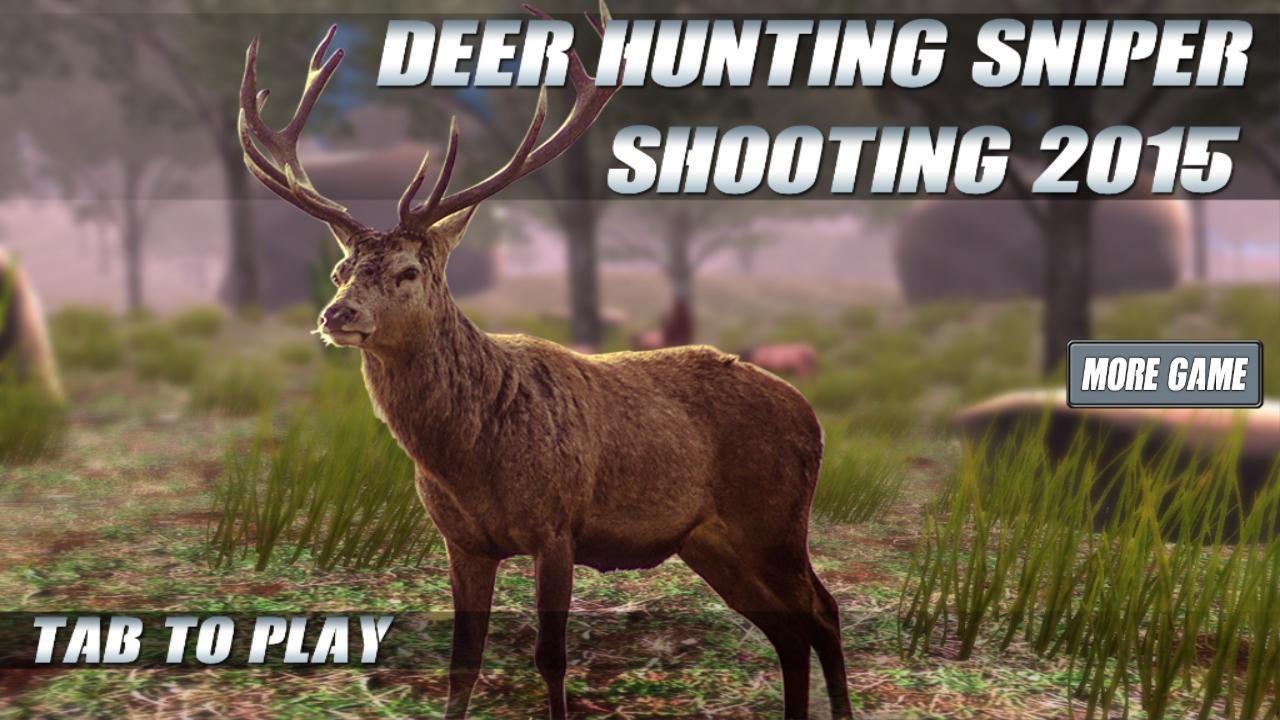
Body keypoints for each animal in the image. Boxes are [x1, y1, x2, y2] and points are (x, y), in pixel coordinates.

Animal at [237, 9, 852, 719]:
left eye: (409, 270)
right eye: (341, 271)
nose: (337, 314)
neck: (470, 455)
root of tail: (814, 417)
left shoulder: (558, 524)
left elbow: (550, 658)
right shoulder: (461, 540)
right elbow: (463, 661)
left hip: (775, 519)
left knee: (823, 611)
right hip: (712, 541)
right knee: (788, 629)